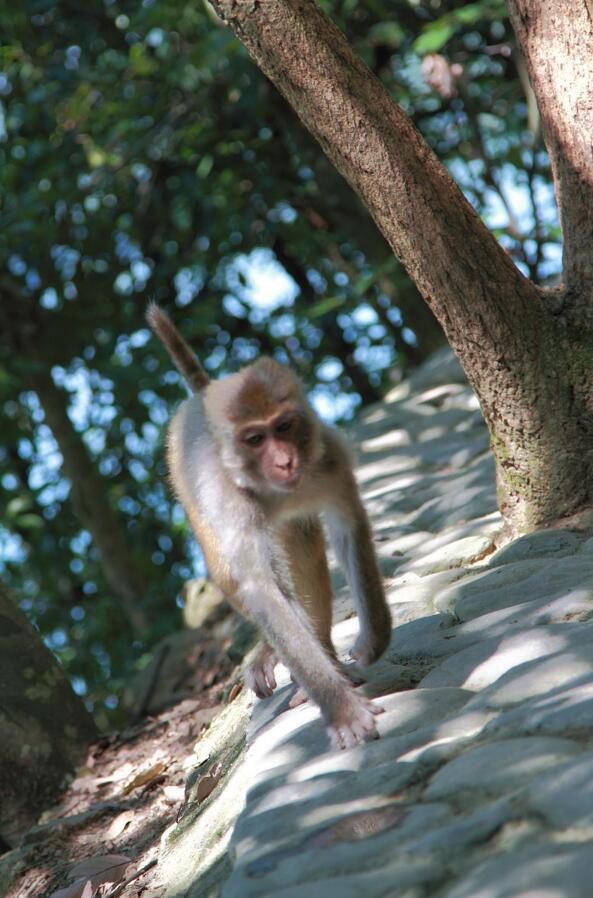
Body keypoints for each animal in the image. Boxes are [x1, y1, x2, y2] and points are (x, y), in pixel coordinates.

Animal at [146, 304, 390, 744]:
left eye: (285, 426)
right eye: (255, 439)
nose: (285, 462)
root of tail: (203, 394)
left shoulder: (330, 458)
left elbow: (349, 526)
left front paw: (372, 640)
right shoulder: (230, 501)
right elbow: (260, 586)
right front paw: (342, 711)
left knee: (303, 545)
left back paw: (325, 657)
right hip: (187, 485)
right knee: (229, 572)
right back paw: (282, 659)